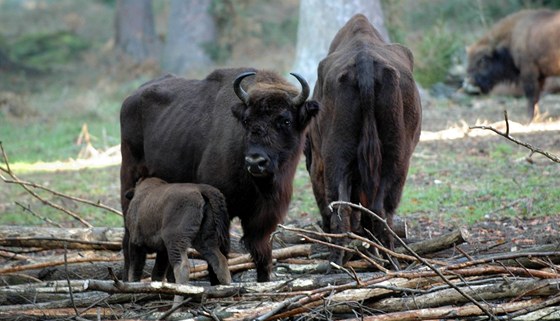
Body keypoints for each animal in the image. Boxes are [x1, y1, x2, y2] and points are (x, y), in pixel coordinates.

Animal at [120, 67, 318, 280]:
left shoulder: (265, 217)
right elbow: (220, 251)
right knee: (128, 238)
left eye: (286, 120)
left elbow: (263, 254)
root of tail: (131, 98)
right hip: (129, 180)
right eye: (246, 120)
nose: (255, 162)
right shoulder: (223, 211)